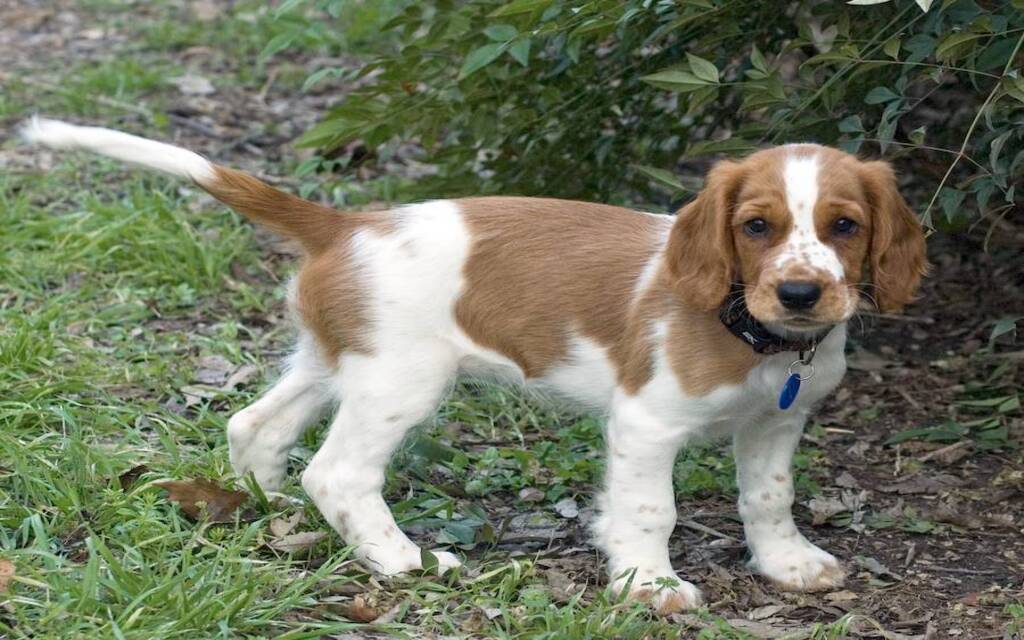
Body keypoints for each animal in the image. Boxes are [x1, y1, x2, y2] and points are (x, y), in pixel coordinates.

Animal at [22, 118, 929, 614]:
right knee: (338, 473)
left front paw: (786, 565)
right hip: (401, 381)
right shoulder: (645, 423)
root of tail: (350, 224)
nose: (803, 292)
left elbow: (768, 498)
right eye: (755, 226)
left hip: (335, 356)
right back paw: (402, 561)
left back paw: (272, 512)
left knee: (256, 426)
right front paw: (648, 586)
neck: (754, 334)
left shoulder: (779, 421)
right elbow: (651, 510)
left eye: (845, 225)